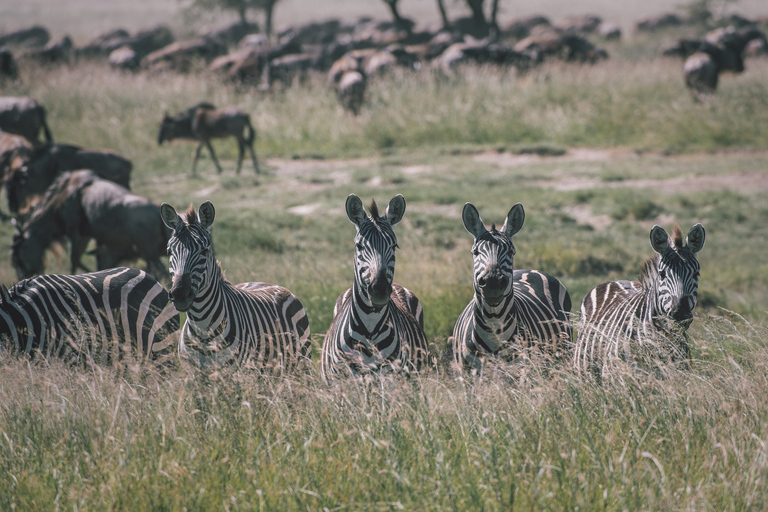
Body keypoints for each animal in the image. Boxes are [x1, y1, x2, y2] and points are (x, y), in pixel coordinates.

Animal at [160, 200, 310, 372]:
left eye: (204, 251)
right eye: (169, 251)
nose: (180, 294)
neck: (202, 327)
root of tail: (270, 283)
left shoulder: (234, 373)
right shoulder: (192, 374)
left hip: (300, 364)